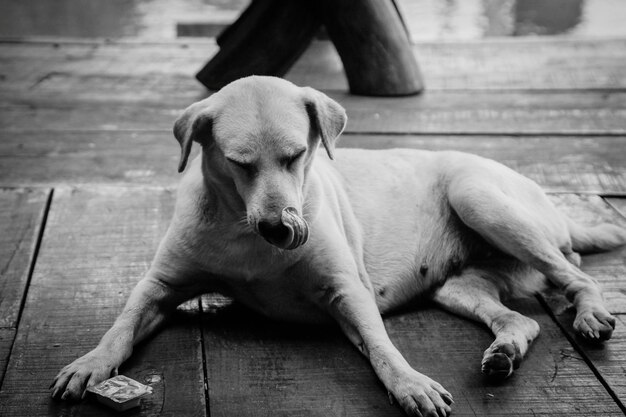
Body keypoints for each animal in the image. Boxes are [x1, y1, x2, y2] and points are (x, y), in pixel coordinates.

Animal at [50, 75, 624, 416]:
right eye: (239, 164)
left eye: (297, 155)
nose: (280, 229)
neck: (244, 234)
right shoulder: (160, 285)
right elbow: (121, 327)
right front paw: (90, 363)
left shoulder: (347, 292)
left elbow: (383, 348)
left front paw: (410, 384)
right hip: (460, 287)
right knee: (521, 319)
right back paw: (504, 352)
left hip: (478, 196)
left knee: (576, 275)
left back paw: (590, 314)